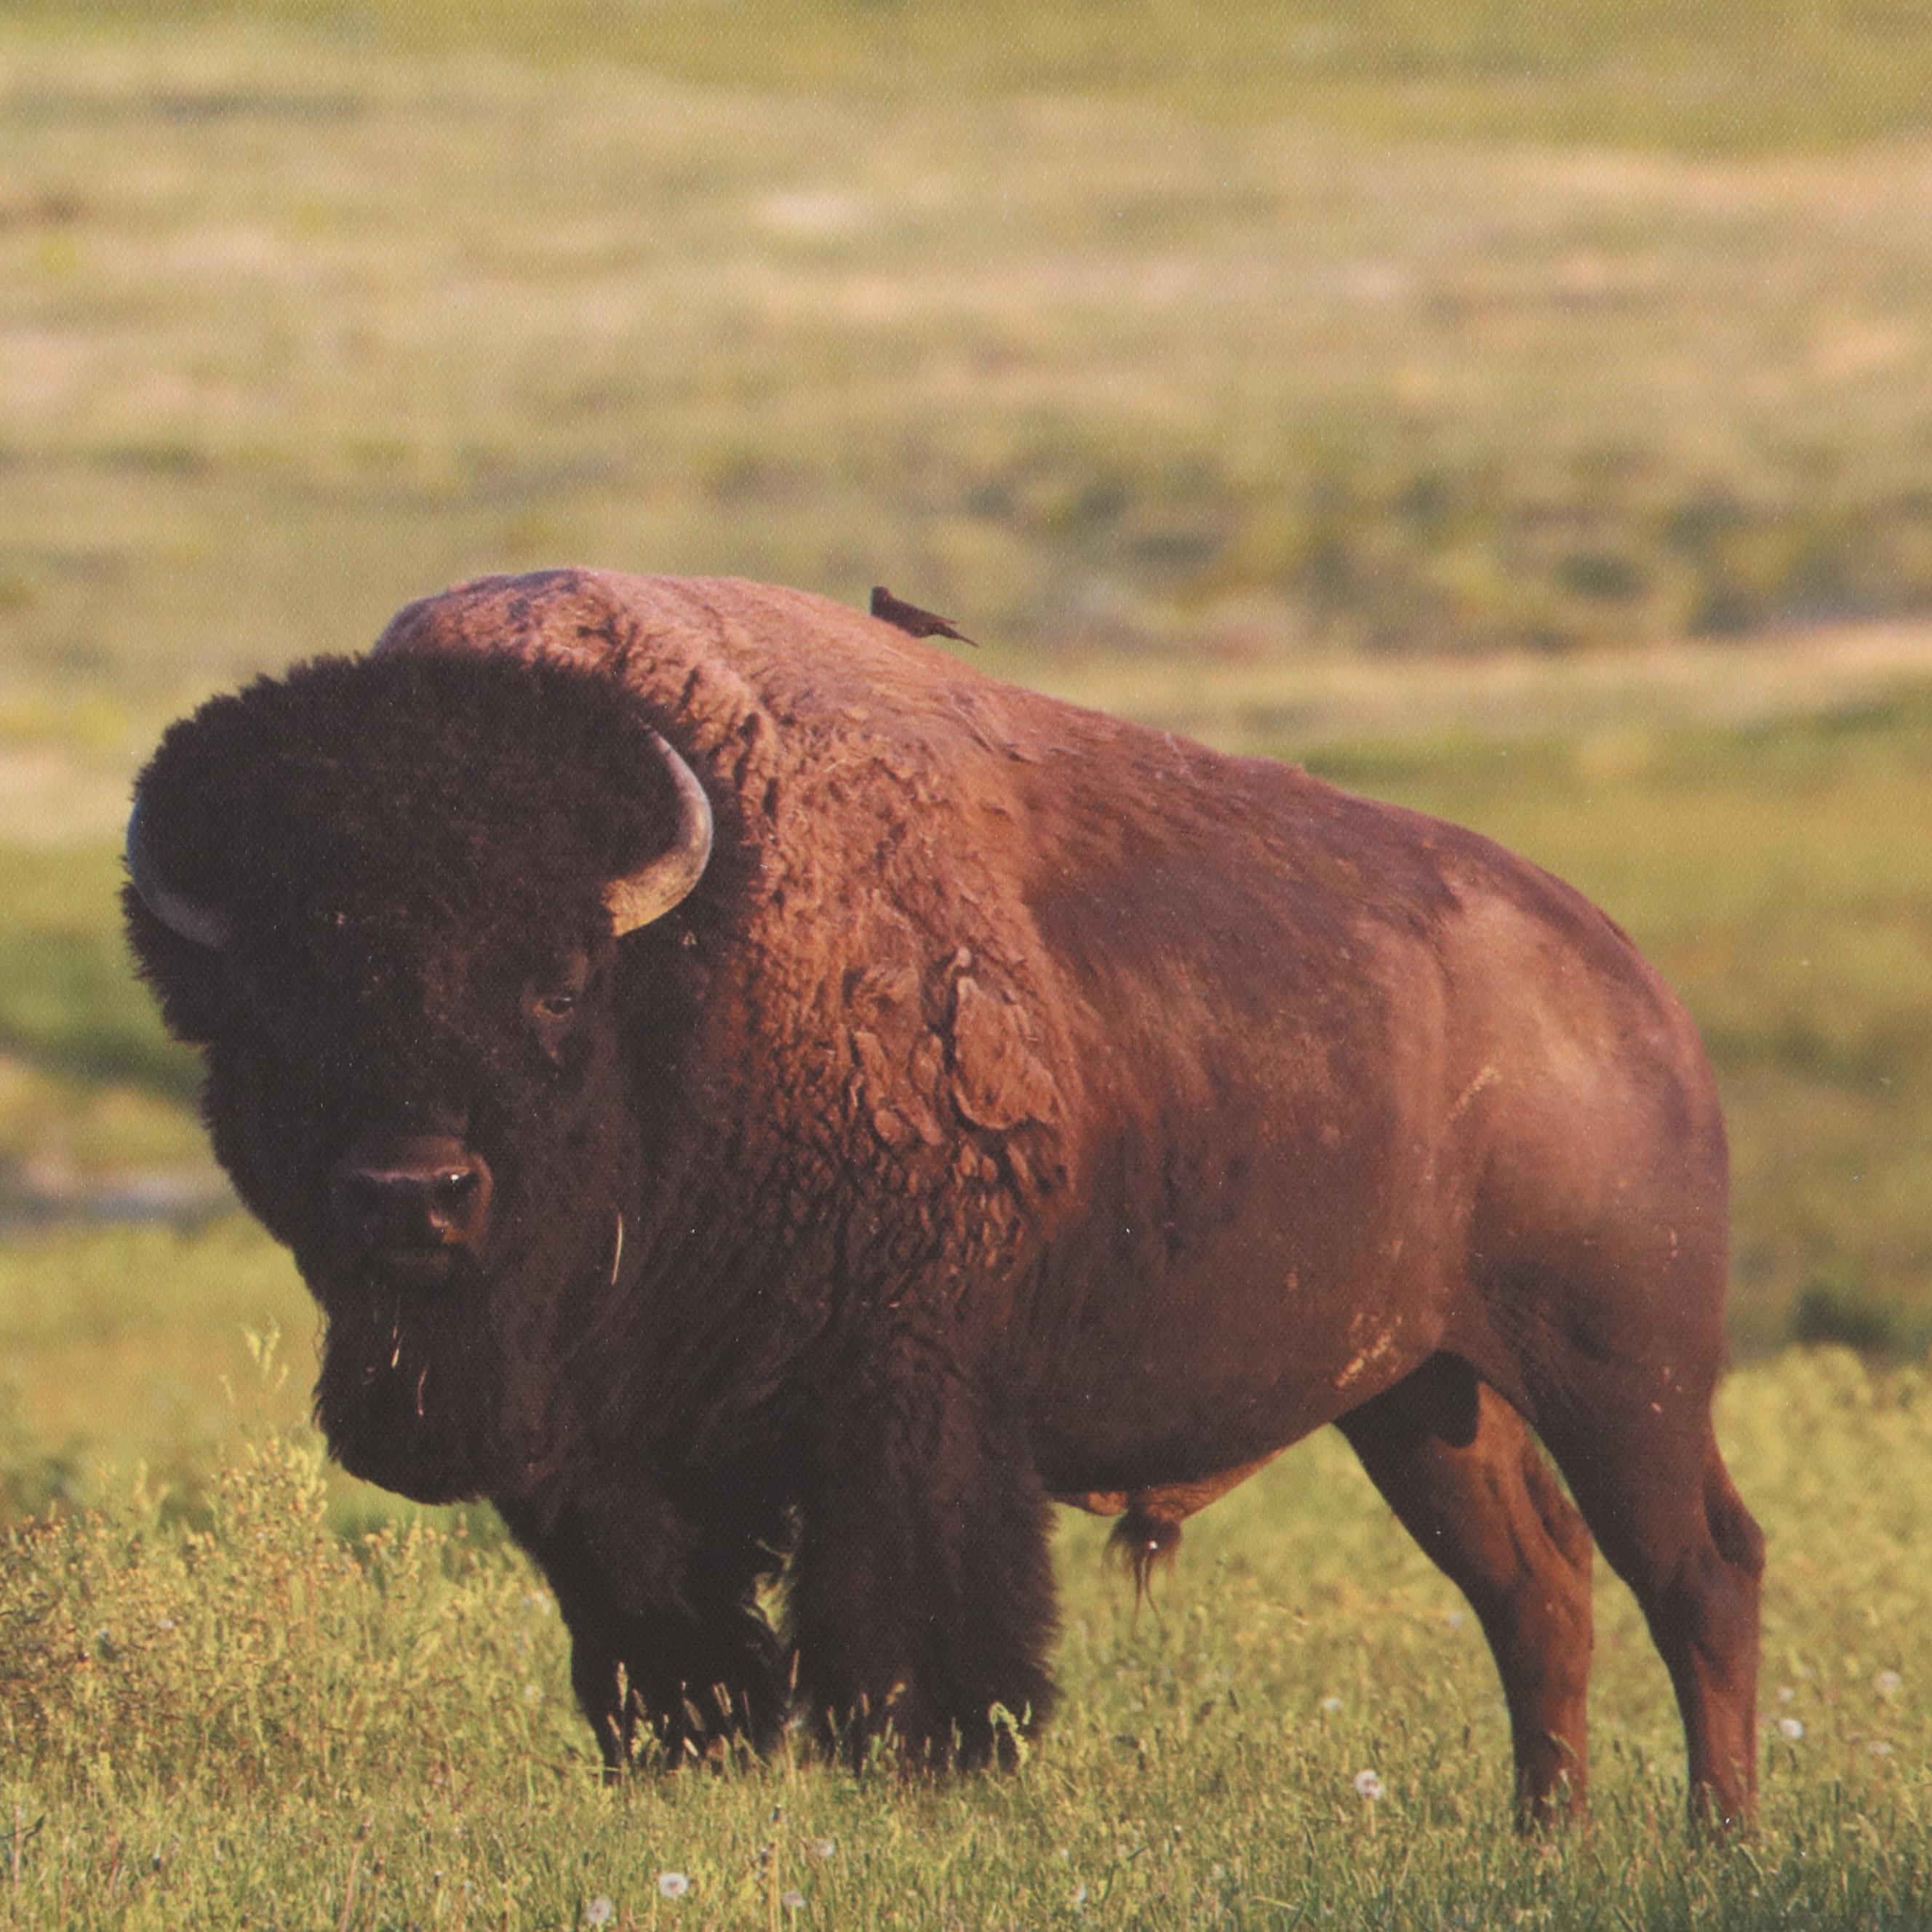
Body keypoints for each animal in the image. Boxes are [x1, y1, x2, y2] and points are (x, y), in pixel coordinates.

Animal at [124, 569, 1762, 1823]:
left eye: (556, 985)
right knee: (1534, 1590)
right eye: (278, 1010)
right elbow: (669, 1655)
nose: (414, 1192)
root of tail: (1627, 988)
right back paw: (1545, 1836)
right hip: (1421, 1395)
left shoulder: (904, 1404)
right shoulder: (594, 1456)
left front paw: (930, 1783)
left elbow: (911, 1644)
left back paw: (1711, 1841)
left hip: (1621, 1369)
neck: (699, 966)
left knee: (1694, 1570)